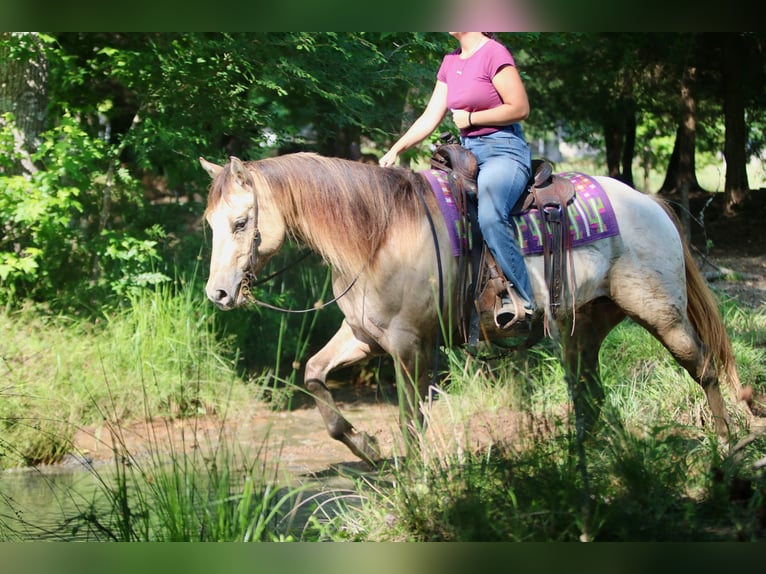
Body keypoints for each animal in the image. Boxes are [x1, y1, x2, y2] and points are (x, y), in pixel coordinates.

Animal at [199, 152, 749, 464]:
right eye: (210, 223)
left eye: (242, 221)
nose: (218, 294)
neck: (379, 235)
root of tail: (649, 204)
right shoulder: (363, 336)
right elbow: (313, 374)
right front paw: (367, 447)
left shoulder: (410, 347)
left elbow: (411, 422)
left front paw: (416, 485)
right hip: (584, 326)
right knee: (589, 394)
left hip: (661, 313)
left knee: (703, 368)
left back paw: (726, 451)